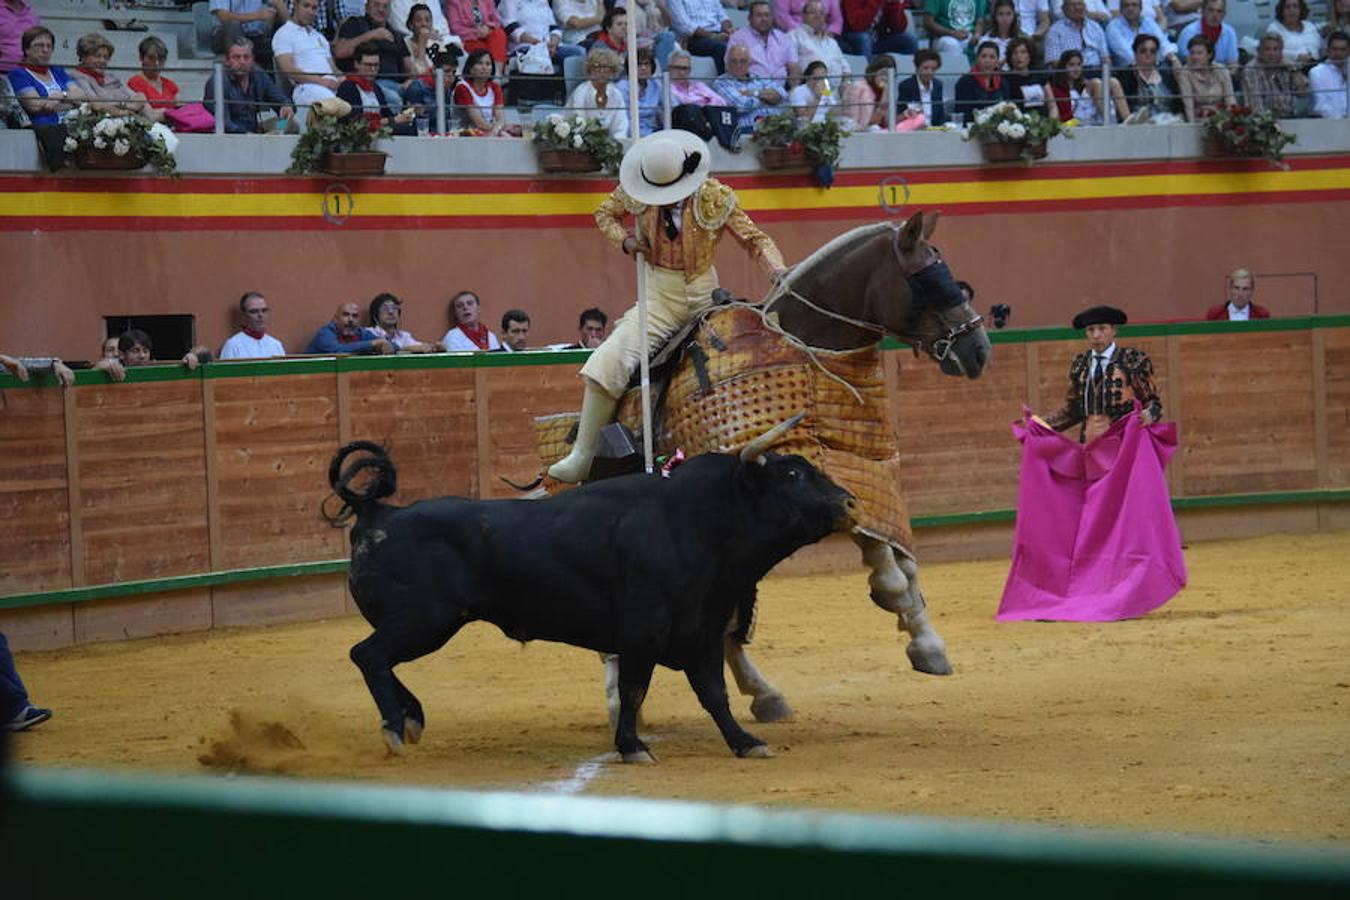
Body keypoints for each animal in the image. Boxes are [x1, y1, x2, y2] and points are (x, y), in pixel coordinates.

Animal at [328, 431, 853, 766]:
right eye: (792, 474)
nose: (849, 502)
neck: (701, 518)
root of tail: (377, 512)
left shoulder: (701, 629)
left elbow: (714, 693)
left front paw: (746, 742)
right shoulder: (643, 632)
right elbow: (635, 689)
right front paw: (633, 747)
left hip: (427, 624)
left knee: (377, 659)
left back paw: (410, 720)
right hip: (424, 620)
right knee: (368, 655)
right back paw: (395, 728)